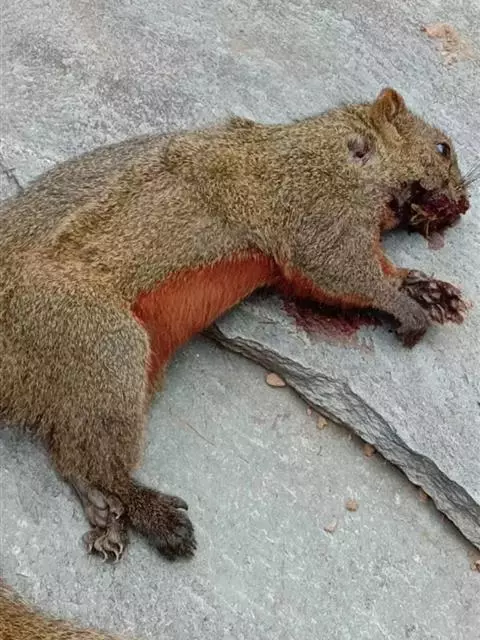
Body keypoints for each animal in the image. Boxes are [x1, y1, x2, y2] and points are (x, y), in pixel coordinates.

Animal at [0, 88, 470, 562]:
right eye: (442, 148)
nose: (464, 204)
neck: (346, 146)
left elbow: (363, 275)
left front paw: (429, 289)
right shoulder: (317, 204)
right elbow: (338, 270)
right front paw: (408, 307)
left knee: (68, 450)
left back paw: (100, 508)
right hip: (98, 339)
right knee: (95, 453)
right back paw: (152, 513)